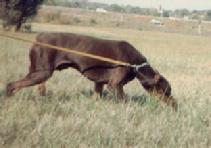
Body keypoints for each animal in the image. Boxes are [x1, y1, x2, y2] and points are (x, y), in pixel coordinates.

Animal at [6, 33, 178, 110]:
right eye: (166, 91)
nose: (175, 106)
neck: (135, 64)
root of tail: (37, 39)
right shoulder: (114, 85)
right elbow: (124, 101)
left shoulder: (99, 83)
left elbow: (97, 96)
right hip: (40, 73)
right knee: (11, 85)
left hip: (39, 73)